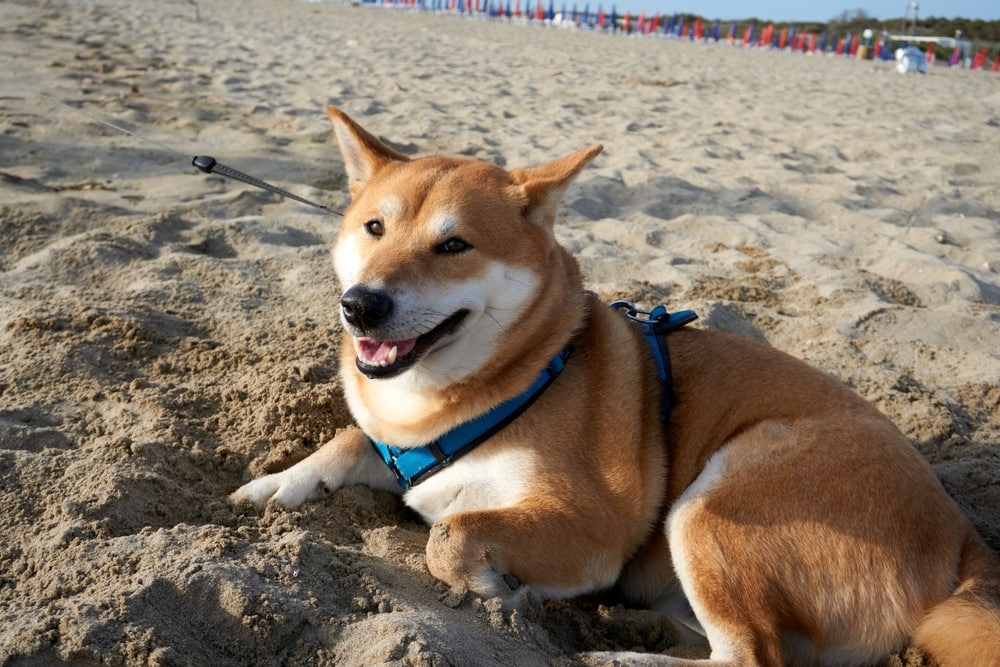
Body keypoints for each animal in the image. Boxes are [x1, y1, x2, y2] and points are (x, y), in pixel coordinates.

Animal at [230, 107, 1000, 664]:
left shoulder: (590, 523)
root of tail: (966, 544)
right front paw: (276, 484)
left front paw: (503, 591)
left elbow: (448, 535)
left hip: (716, 503)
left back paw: (620, 656)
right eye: (373, 227)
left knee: (751, 656)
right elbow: (347, 440)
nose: (360, 304)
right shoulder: (397, 444)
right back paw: (642, 631)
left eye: (453, 246)